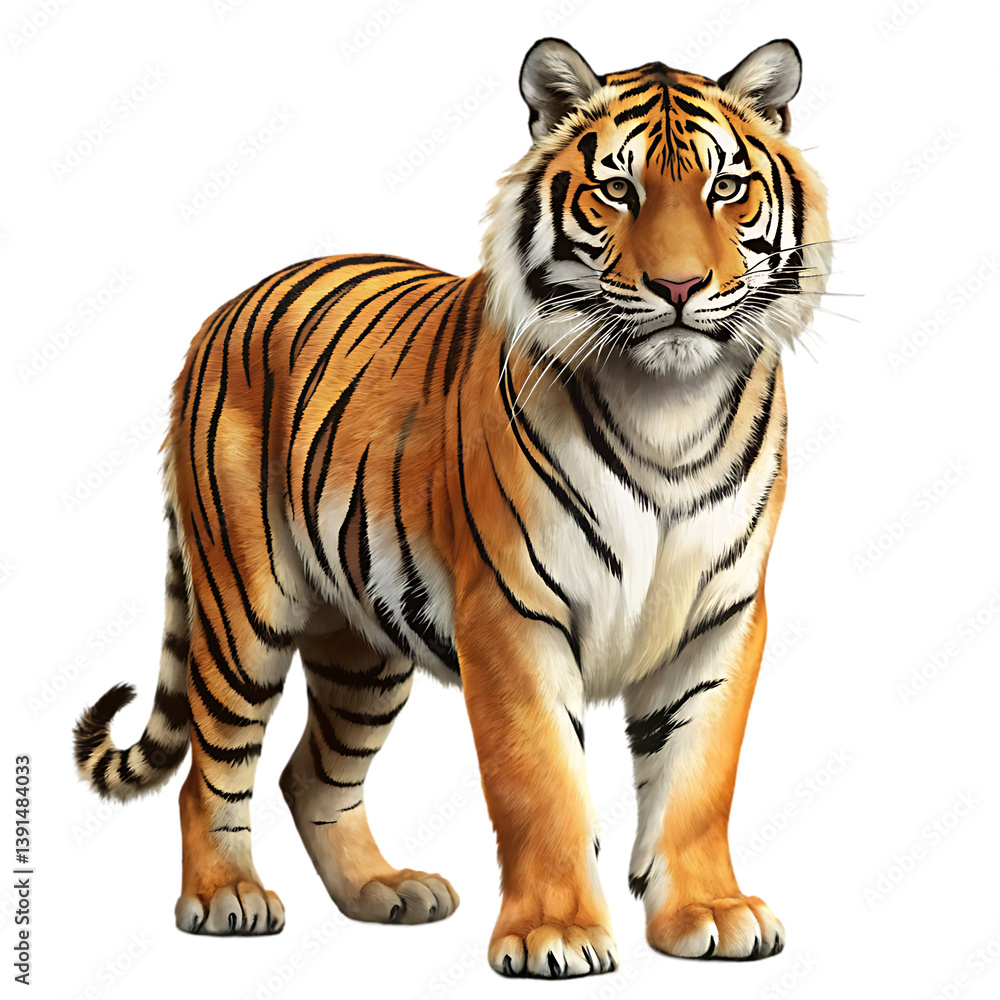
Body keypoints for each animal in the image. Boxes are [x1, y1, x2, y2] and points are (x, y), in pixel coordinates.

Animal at [73, 36, 831, 978]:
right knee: (211, 769)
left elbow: (697, 779)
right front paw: (554, 934)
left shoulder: (720, 617)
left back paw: (384, 891)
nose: (681, 286)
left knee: (311, 775)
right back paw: (226, 898)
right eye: (619, 191)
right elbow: (540, 782)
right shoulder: (512, 613)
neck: (668, 408)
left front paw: (711, 915)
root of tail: (223, 311)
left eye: (727, 187)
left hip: (360, 648)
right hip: (244, 609)